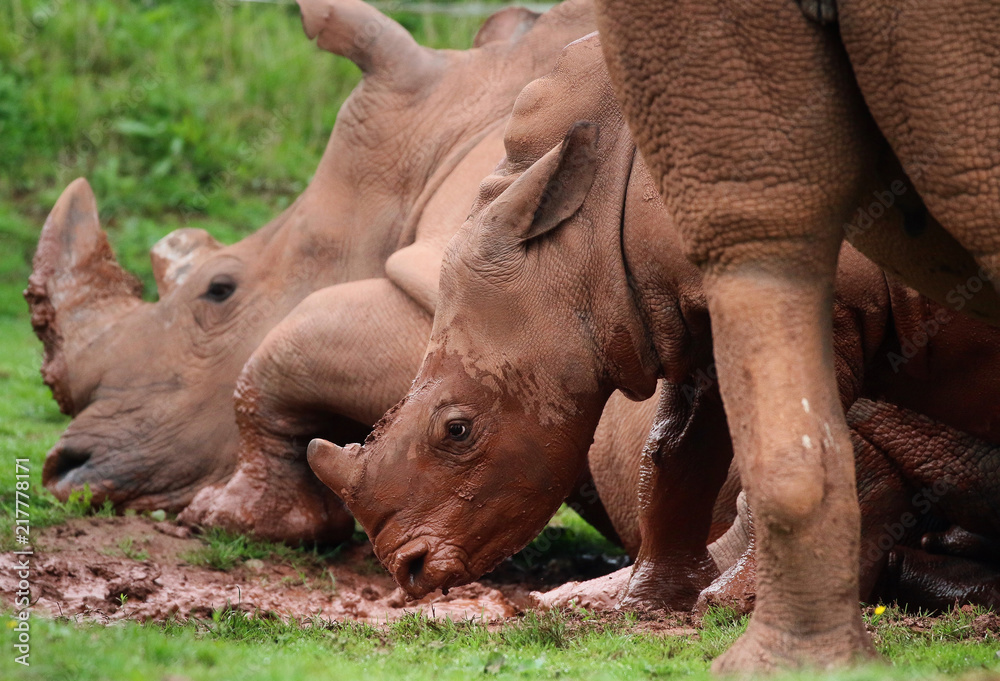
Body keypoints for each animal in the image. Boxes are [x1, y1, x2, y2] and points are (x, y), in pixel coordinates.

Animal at [306, 33, 1000, 619]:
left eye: (457, 429)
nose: (408, 570)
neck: (589, 229)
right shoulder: (692, 318)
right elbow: (674, 452)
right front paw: (646, 608)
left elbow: (793, 441)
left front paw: (732, 607)